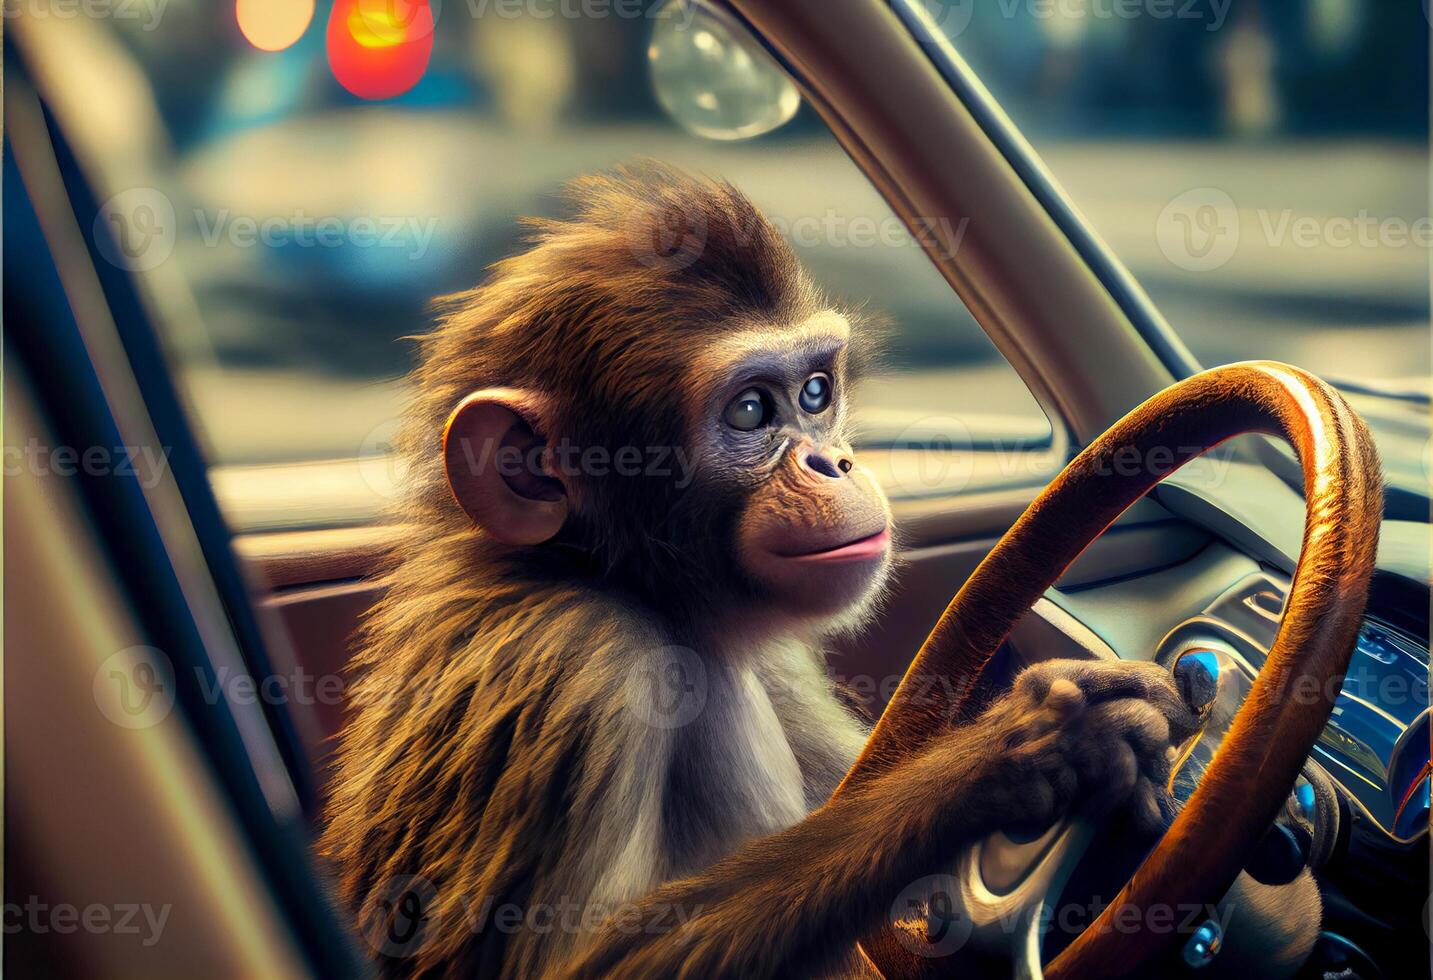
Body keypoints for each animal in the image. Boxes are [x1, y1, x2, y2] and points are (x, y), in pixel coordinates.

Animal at [319, 165, 1310, 978]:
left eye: (815, 393)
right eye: (753, 411)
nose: (832, 461)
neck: (633, 587)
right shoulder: (576, 665)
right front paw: (1024, 748)